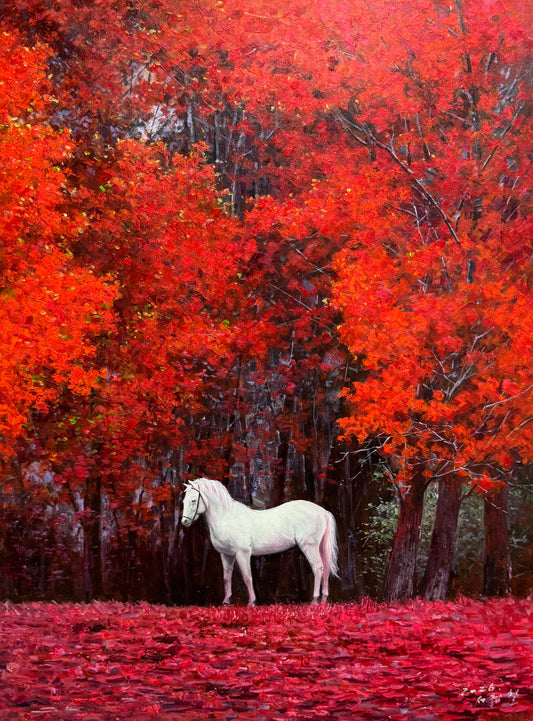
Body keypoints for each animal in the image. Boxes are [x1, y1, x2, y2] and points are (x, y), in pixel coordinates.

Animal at [181, 477, 338, 605]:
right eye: (183, 501)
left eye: (193, 500)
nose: (184, 522)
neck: (228, 518)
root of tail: (323, 512)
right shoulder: (226, 555)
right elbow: (226, 577)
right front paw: (226, 602)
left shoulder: (242, 554)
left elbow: (247, 577)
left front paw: (251, 602)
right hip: (319, 547)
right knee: (325, 567)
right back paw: (323, 599)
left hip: (309, 546)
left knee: (317, 567)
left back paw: (314, 600)